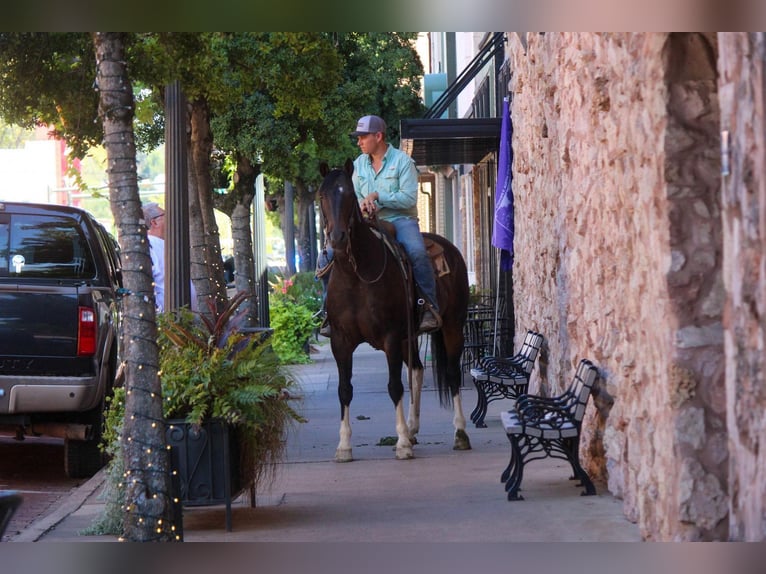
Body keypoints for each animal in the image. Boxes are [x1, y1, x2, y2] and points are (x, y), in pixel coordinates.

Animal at [320, 161, 474, 464]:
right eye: (322, 196)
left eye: (349, 195)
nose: (337, 238)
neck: (356, 276)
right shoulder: (340, 341)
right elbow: (345, 390)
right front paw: (344, 446)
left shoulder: (390, 337)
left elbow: (394, 386)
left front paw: (401, 442)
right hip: (409, 337)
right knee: (417, 369)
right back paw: (414, 429)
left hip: (452, 326)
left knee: (452, 373)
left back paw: (459, 433)